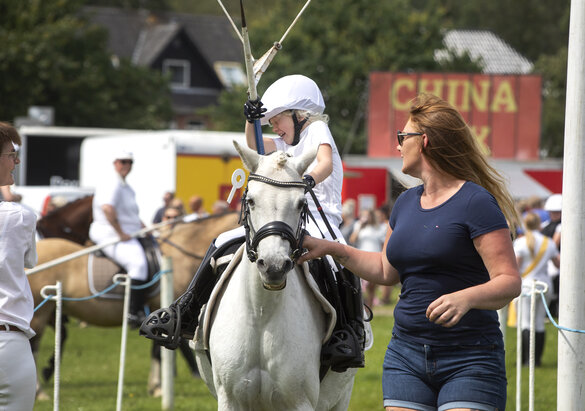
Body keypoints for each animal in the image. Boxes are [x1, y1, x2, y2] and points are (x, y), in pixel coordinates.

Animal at [28, 212, 240, 400]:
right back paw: (39, 391)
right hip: (40, 313)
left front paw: (155, 386)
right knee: (33, 346)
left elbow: (159, 348)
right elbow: (161, 349)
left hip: (51, 309)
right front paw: (158, 387)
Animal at [195, 142, 356, 411]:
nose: (274, 266)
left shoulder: (300, 402)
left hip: (340, 398)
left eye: (301, 204)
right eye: (251, 200)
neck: (261, 313)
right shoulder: (230, 399)